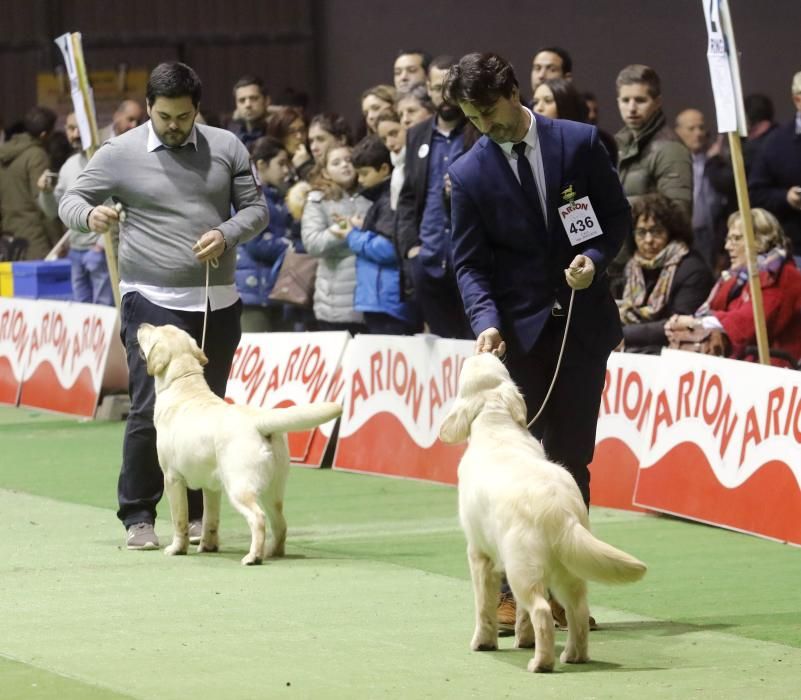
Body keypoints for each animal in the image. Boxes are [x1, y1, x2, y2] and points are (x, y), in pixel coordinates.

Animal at [137, 322, 340, 564]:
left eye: (153, 331)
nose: (142, 324)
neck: (184, 383)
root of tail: (260, 420)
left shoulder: (172, 478)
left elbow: (180, 520)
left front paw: (177, 549)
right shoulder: (211, 486)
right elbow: (210, 520)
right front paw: (208, 546)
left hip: (239, 487)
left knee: (258, 518)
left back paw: (253, 557)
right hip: (272, 490)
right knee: (280, 523)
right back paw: (273, 552)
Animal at [438, 356, 644, 672]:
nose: (485, 353)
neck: (496, 423)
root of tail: (559, 510)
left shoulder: (479, 554)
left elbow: (484, 606)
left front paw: (483, 642)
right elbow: (522, 617)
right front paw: (523, 639)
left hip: (520, 568)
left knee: (542, 611)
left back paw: (541, 663)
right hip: (568, 569)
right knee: (576, 611)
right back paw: (574, 655)